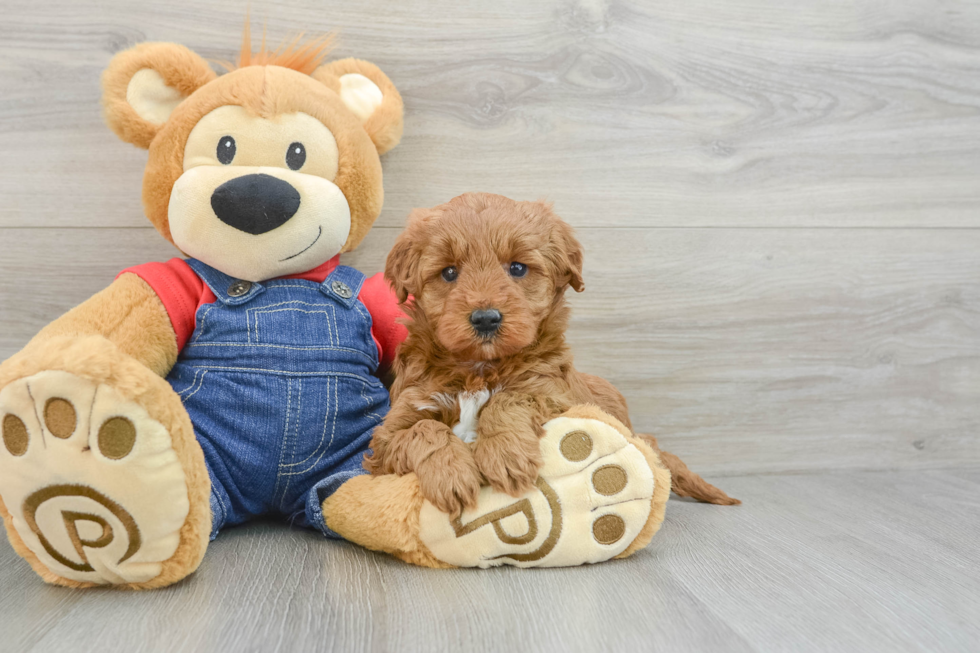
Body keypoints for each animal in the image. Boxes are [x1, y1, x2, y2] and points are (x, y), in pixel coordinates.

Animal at [366, 191, 736, 512]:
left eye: (517, 268)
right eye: (448, 272)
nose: (486, 318)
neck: (479, 367)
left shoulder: (556, 396)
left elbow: (509, 398)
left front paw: (505, 454)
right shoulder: (389, 434)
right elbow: (423, 430)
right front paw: (451, 475)